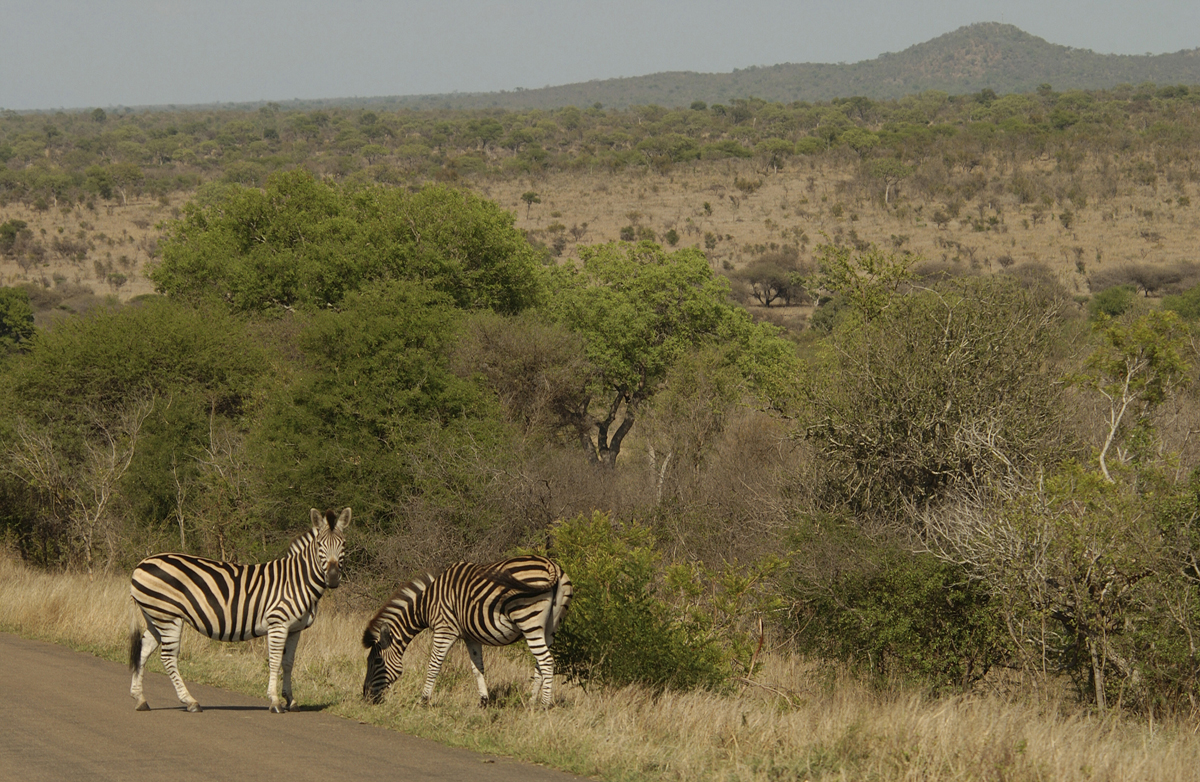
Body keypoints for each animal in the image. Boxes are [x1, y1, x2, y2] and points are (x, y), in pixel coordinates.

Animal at [129, 506, 350, 714]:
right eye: (320, 545)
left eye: (343, 545)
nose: (332, 578)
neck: (297, 581)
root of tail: (141, 564)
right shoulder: (278, 623)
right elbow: (275, 661)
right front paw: (275, 701)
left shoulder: (295, 629)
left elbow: (288, 663)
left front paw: (291, 701)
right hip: (168, 616)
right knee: (168, 657)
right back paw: (190, 701)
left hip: (155, 616)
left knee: (143, 650)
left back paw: (140, 699)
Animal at [360, 556, 571, 710]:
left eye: (376, 661)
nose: (365, 696)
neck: (427, 603)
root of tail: (552, 565)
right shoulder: (470, 637)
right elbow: (478, 668)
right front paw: (483, 702)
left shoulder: (445, 629)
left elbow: (434, 665)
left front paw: (423, 700)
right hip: (551, 627)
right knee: (539, 664)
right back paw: (530, 704)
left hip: (528, 619)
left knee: (546, 662)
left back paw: (542, 706)